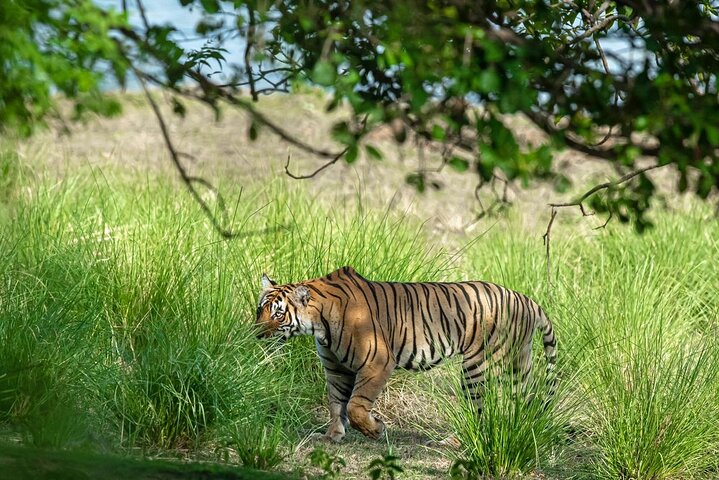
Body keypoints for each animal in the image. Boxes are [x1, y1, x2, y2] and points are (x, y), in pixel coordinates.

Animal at [255, 266, 557, 443]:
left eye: (278, 314)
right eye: (260, 309)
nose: (255, 334)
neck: (319, 325)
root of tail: (526, 299)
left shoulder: (377, 361)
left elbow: (355, 406)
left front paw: (375, 430)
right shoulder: (336, 368)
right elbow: (336, 403)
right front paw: (332, 435)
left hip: (478, 365)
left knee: (478, 408)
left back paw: (454, 442)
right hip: (518, 364)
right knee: (526, 399)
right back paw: (525, 428)